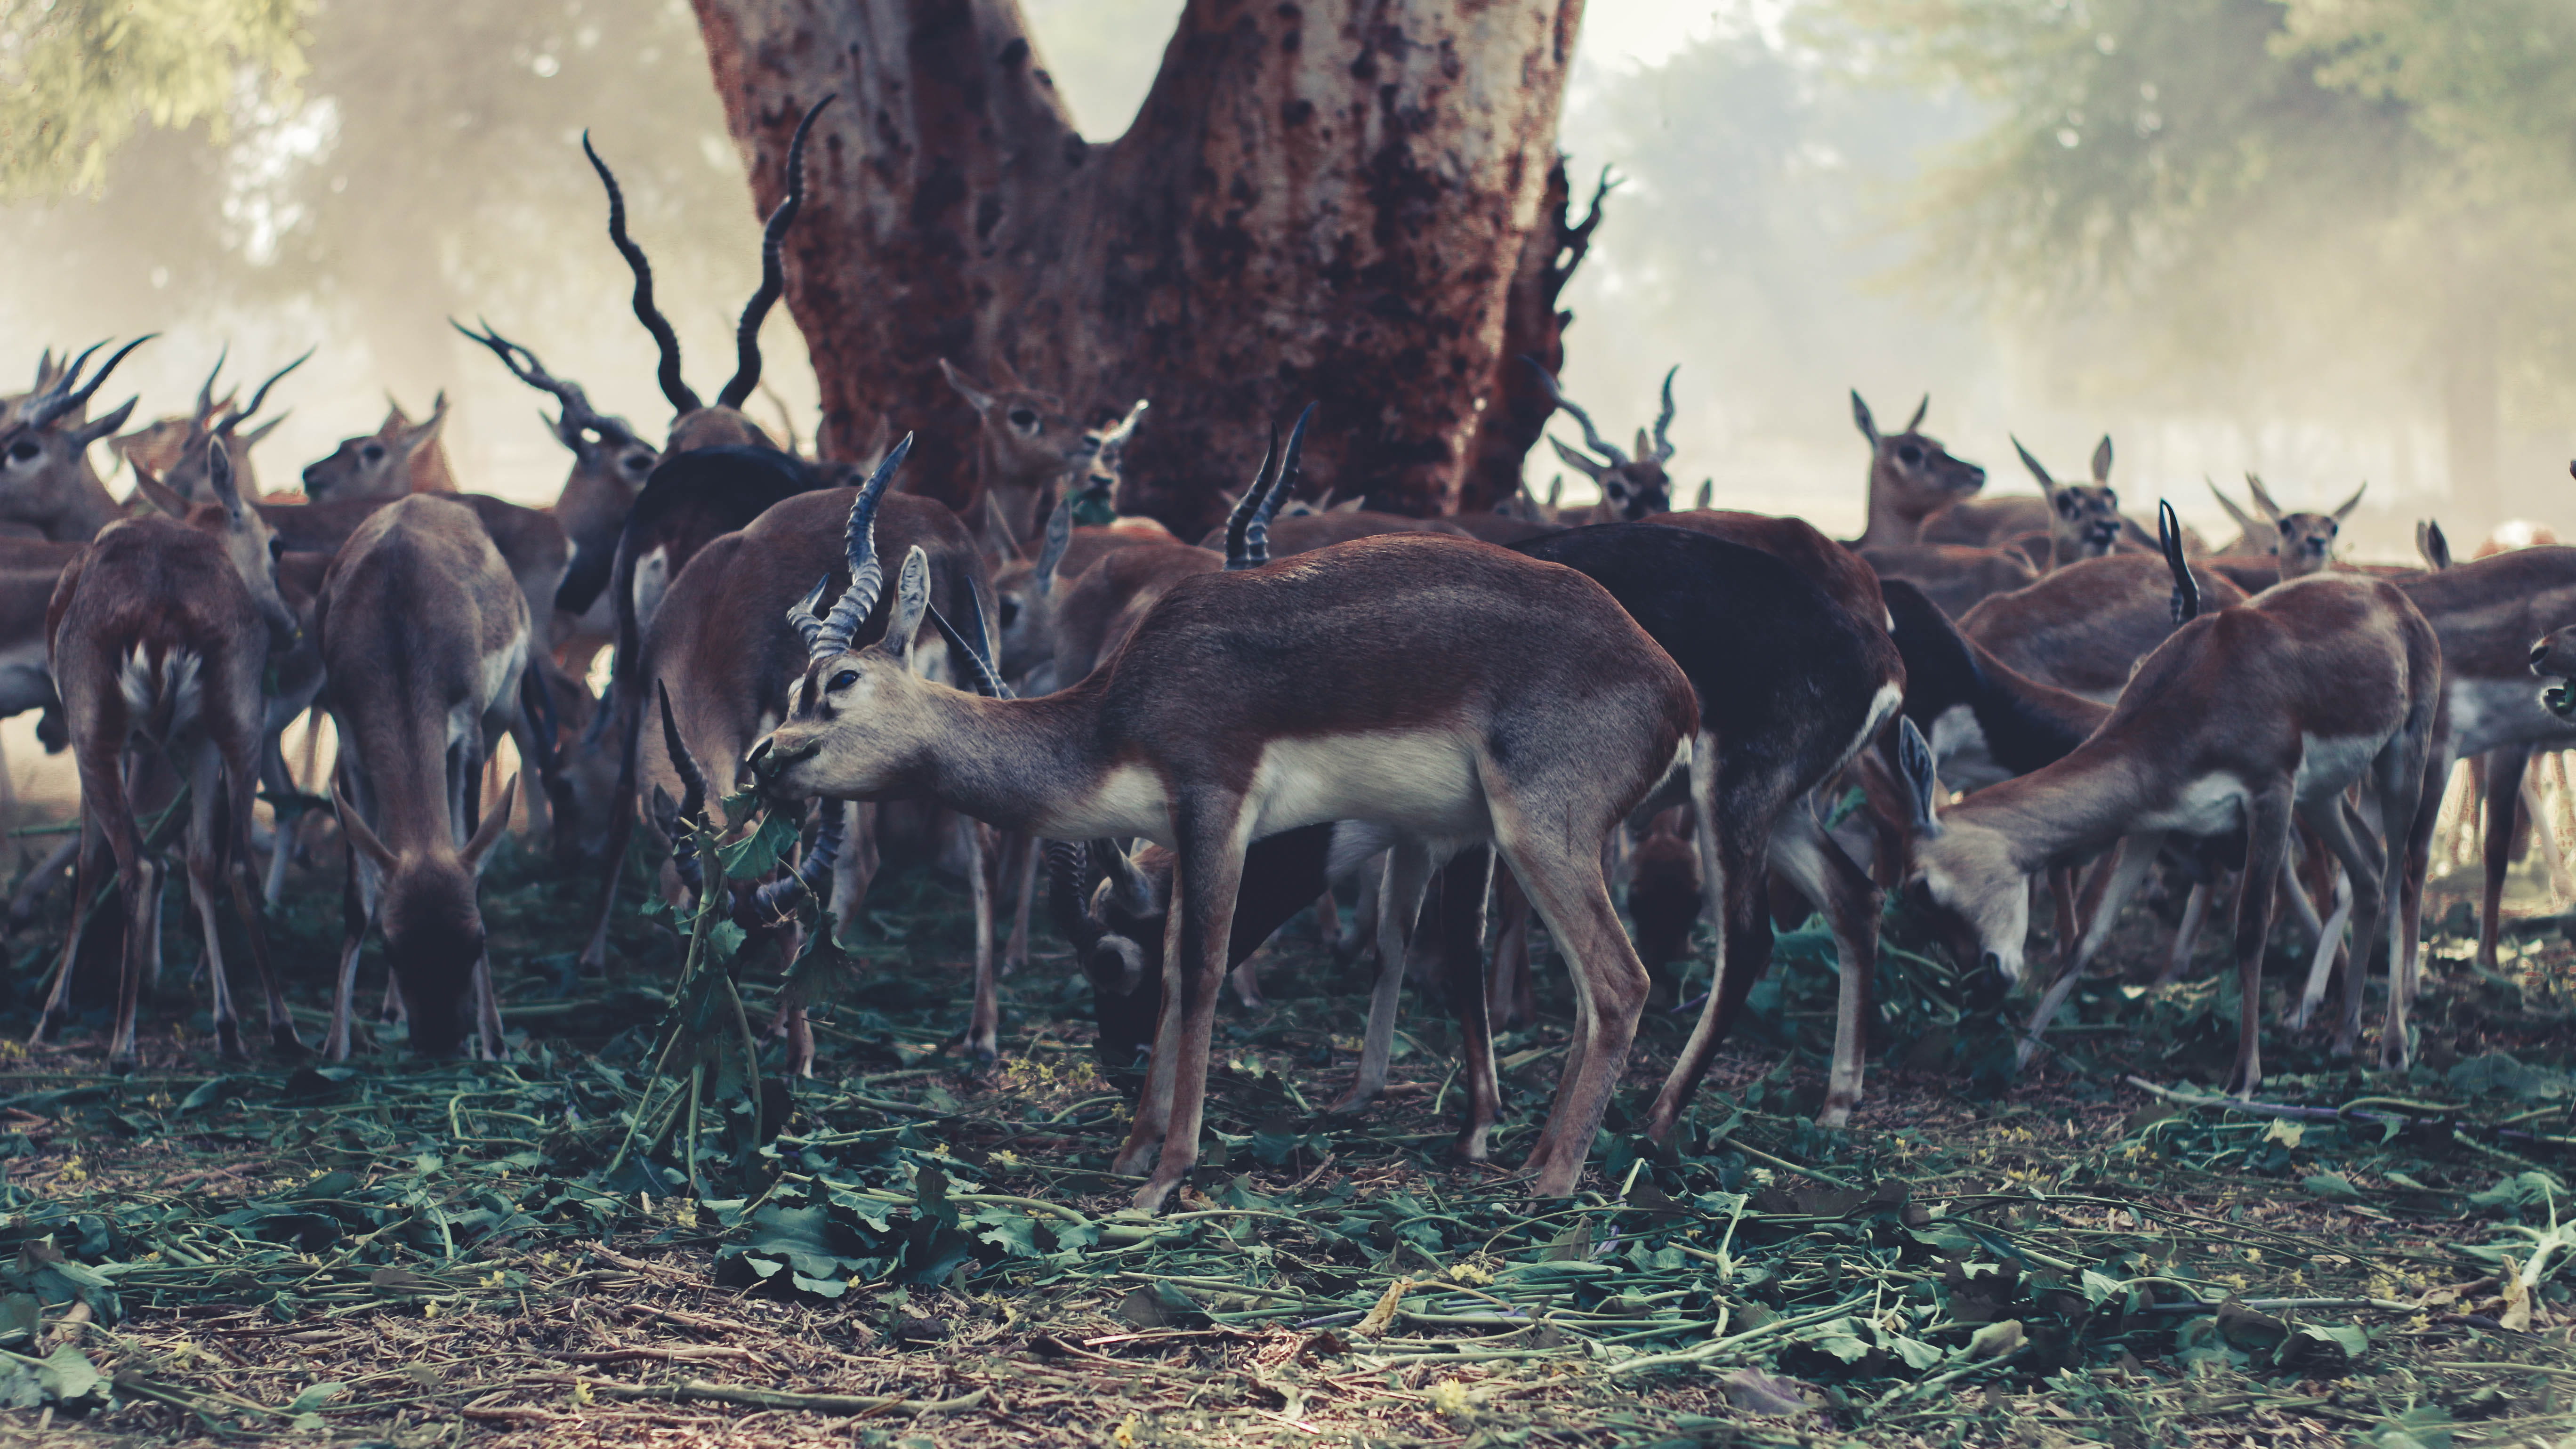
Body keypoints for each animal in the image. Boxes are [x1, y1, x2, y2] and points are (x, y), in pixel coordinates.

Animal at [31, 440, 304, 1068]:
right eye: (276, 544)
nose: (292, 625)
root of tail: (162, 612)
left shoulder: (114, 744)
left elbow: (90, 865)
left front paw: (52, 1016)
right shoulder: (191, 743)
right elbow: (201, 862)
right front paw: (226, 1024)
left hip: (95, 730)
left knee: (136, 863)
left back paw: (121, 1044)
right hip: (236, 720)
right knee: (235, 863)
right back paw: (279, 1029)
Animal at [315, 494, 529, 1060]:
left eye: (476, 942)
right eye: (392, 947)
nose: (440, 1041)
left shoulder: (469, 733)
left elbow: (472, 859)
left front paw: (495, 1042)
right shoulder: (350, 747)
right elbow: (358, 898)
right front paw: (335, 1046)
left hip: (501, 716)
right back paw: (389, 1012)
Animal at [747, 466, 1699, 1209]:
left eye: (840, 680)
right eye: (793, 688)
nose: (764, 759)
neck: (1118, 711)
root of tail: (1673, 686)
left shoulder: (1217, 809)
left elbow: (1203, 974)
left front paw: (1167, 1173)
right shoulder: (1184, 830)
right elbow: (1176, 967)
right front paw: (1132, 1147)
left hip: (1534, 834)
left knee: (1619, 982)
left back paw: (1554, 1181)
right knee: (1587, 993)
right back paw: (1532, 1156)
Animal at [1899, 505, 2446, 1089]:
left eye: (1924, 888)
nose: (1983, 981)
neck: (2193, 694)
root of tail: (2394, 597)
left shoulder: (2269, 793)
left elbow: (2250, 928)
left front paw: (2244, 1077)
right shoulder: (2153, 821)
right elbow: (2089, 936)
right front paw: (2019, 1055)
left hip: (2399, 764)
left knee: (2400, 875)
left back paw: (2393, 1048)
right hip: (2320, 798)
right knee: (2367, 871)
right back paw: (2344, 1040)